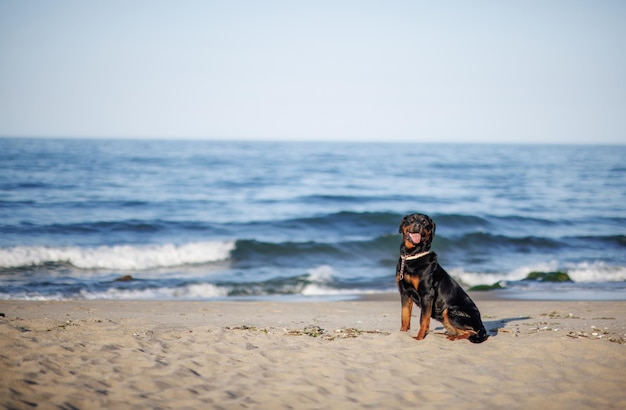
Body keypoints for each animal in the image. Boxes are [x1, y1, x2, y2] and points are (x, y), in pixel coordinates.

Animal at [394, 211, 488, 342]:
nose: (417, 225)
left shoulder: (427, 294)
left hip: (450, 311)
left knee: (472, 332)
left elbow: (423, 320)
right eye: (411, 220)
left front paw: (419, 338)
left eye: (424, 222)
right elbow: (405, 316)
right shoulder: (404, 292)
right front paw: (402, 332)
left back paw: (454, 337)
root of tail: (481, 324)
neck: (412, 255)